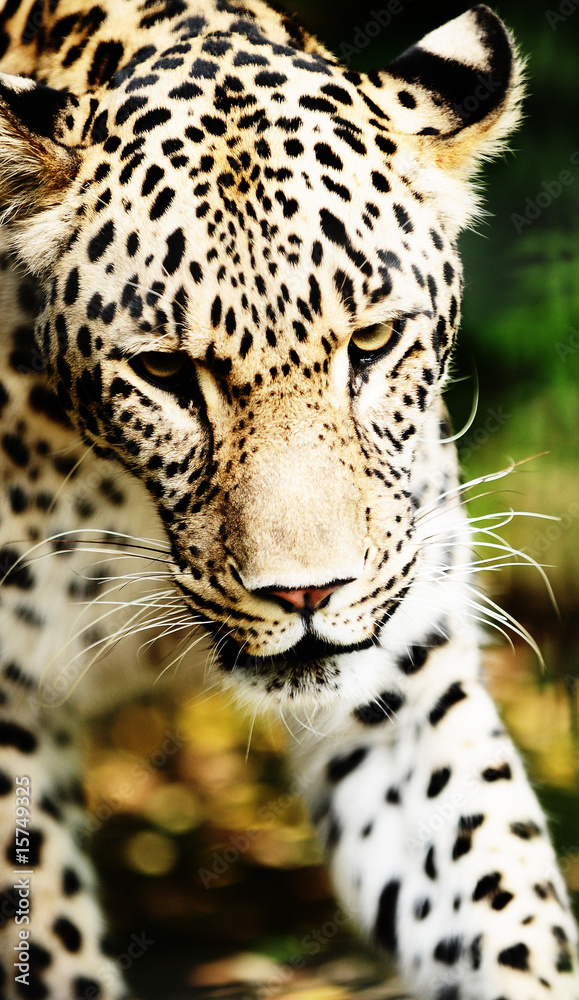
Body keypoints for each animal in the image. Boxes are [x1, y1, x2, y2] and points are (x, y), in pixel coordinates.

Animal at [0, 0, 576, 997]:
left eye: (373, 342)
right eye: (164, 373)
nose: (308, 593)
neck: (123, 509)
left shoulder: (404, 688)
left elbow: (506, 897)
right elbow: (48, 937)